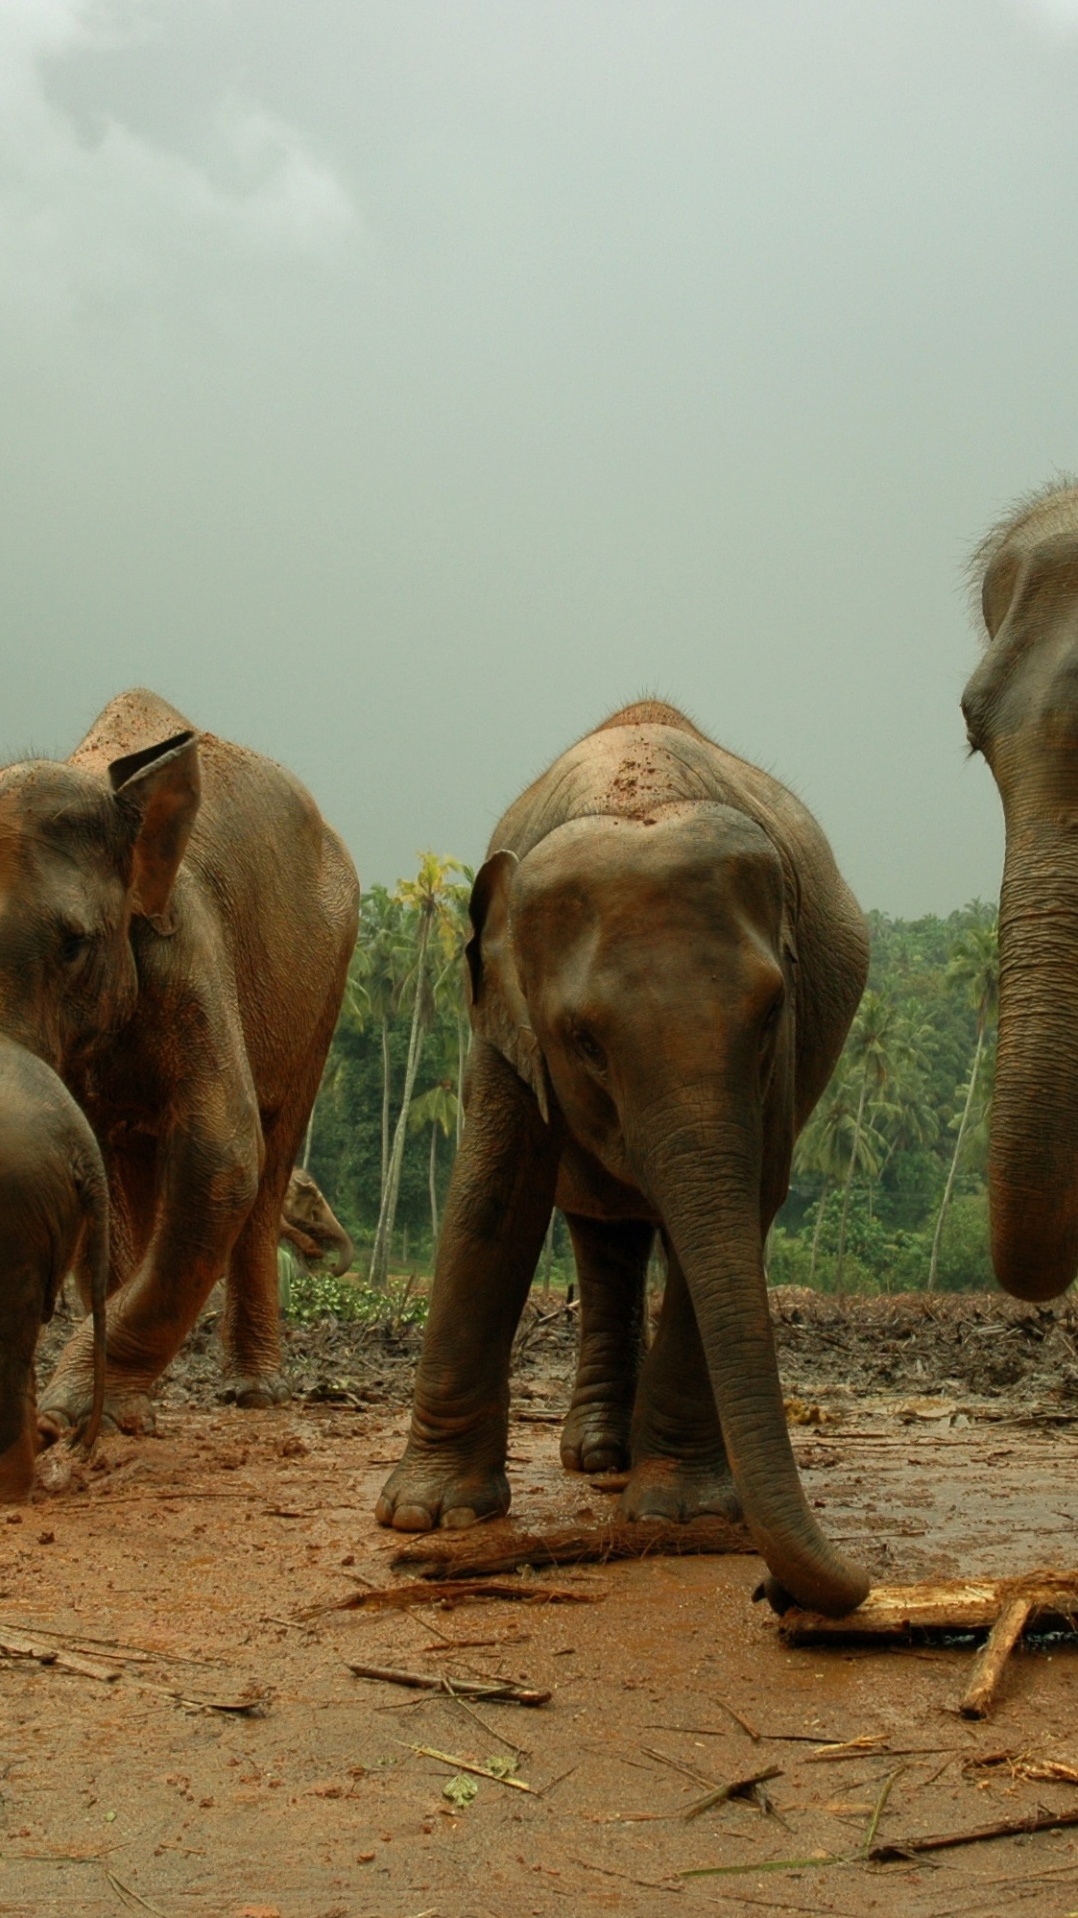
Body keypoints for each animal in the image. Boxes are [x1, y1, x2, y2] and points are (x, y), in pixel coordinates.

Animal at [0, 690, 356, 1442]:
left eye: (74, 945)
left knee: (269, 1156)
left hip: (327, 980)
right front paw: (102, 1413)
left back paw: (255, 1392)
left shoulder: (188, 947)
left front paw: (73, 1416)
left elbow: (221, 1156)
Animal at [374, 698, 867, 1611]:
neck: (636, 793)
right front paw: (429, 1517)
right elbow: (490, 1201)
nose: (782, 1592)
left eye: (770, 1014)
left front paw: (683, 1516)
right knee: (604, 1237)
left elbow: (749, 1202)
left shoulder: (783, 1063)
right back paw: (598, 1456)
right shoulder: (503, 1020)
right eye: (585, 1042)